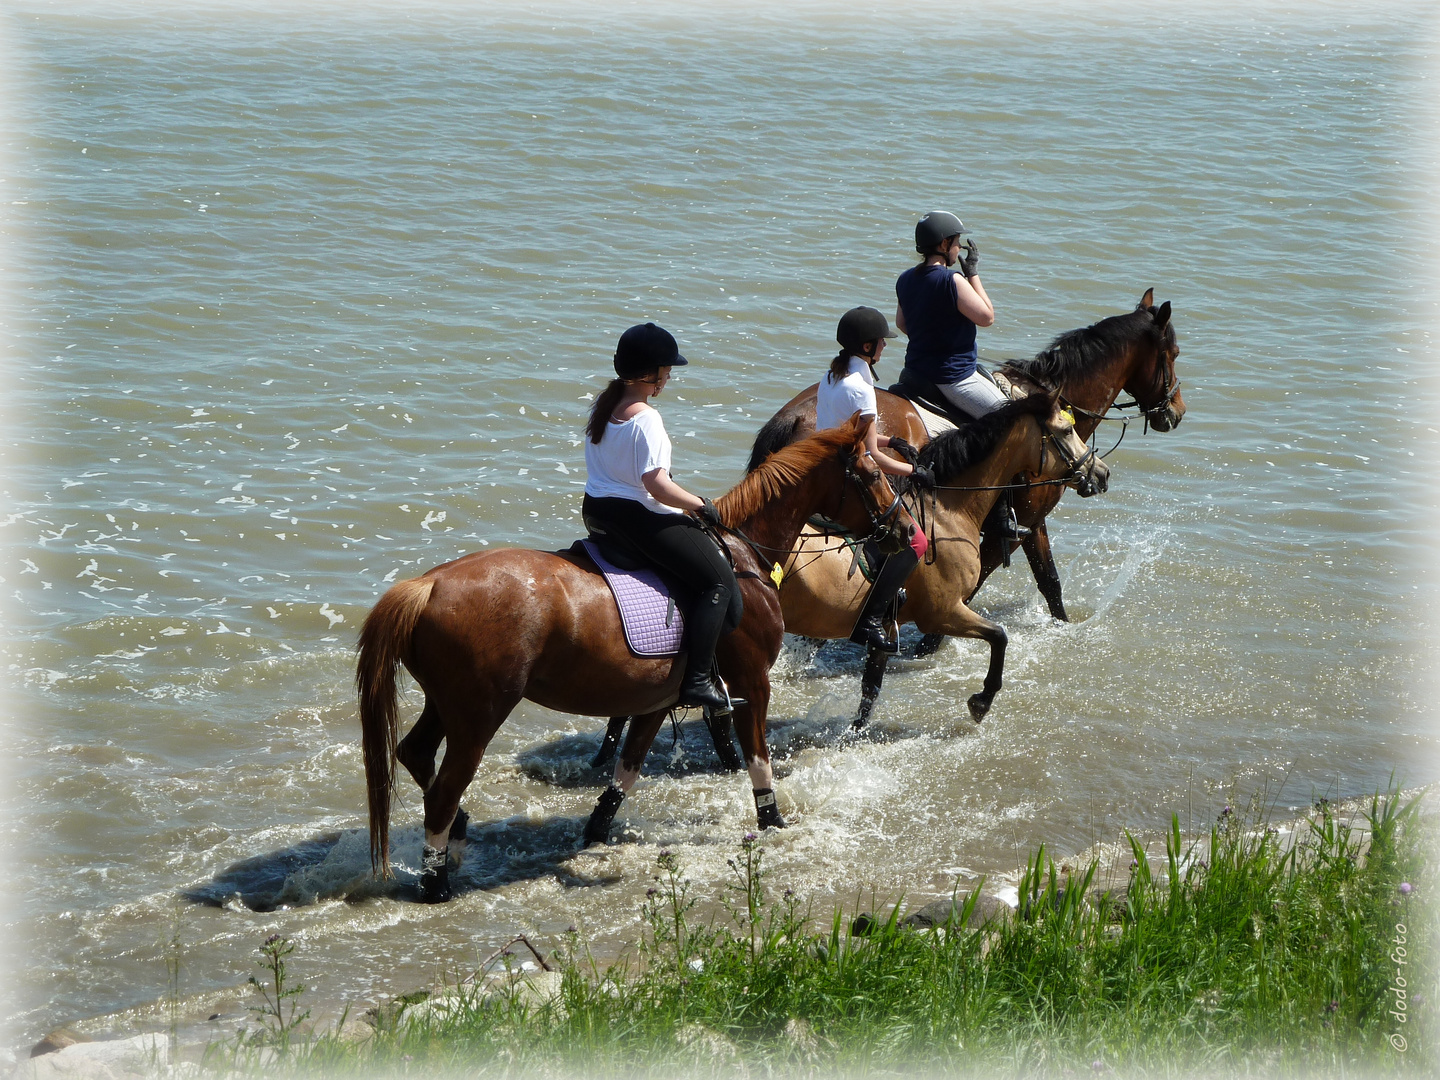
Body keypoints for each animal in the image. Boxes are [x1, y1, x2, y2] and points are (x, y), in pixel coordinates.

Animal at [354, 417, 910, 898]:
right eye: (874, 473)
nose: (906, 531)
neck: (740, 554)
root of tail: (427, 584)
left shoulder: (656, 699)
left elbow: (629, 765)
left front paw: (597, 830)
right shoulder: (753, 682)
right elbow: (758, 759)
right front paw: (773, 821)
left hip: (448, 704)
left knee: (415, 755)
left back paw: (459, 830)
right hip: (480, 713)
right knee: (444, 788)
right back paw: (436, 883)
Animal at [771, 391, 1105, 728]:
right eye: (1066, 430)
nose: (1101, 473)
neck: (947, 512)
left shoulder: (890, 622)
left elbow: (871, 686)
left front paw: (856, 731)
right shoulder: (942, 612)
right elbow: (999, 636)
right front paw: (981, 701)